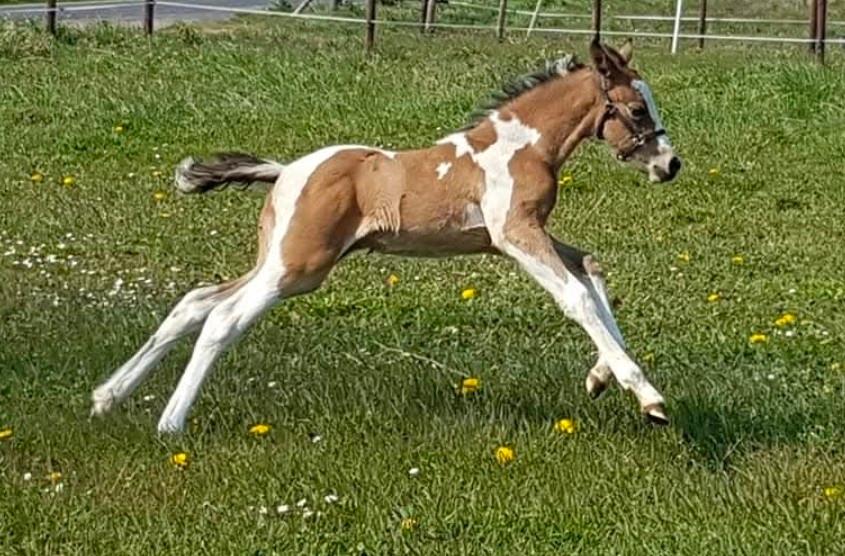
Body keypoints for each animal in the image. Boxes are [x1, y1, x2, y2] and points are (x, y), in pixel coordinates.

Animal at [91, 40, 682, 434]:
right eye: (636, 109)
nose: (670, 164)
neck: (521, 146)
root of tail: (285, 172)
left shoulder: (515, 236)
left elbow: (592, 269)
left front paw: (601, 378)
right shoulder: (514, 233)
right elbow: (576, 297)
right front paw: (648, 396)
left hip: (279, 259)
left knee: (194, 302)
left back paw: (107, 397)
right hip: (298, 266)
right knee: (223, 317)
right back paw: (170, 423)